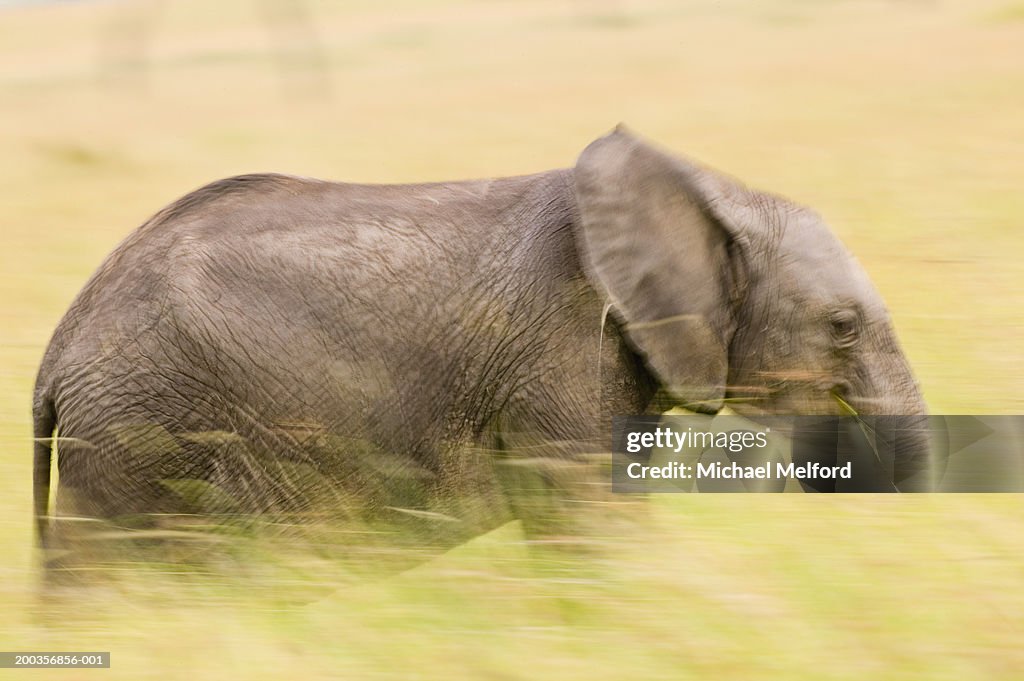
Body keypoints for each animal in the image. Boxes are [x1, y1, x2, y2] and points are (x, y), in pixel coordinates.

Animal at [29, 124, 929, 561]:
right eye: (842, 326)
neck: (707, 189)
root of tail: (58, 349)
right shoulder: (560, 350)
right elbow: (592, 527)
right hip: (140, 431)